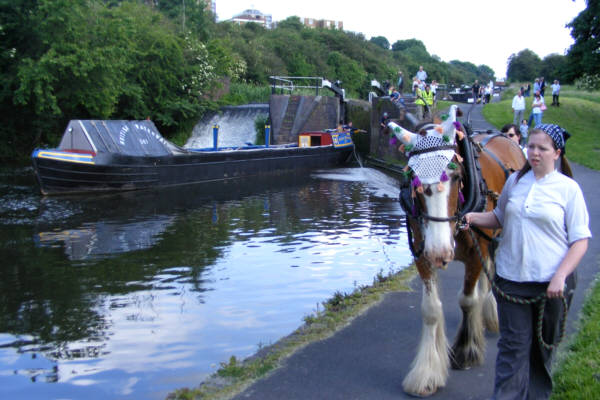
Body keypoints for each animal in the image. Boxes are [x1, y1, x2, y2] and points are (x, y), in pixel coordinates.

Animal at [390, 104, 524, 398]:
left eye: (456, 176)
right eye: (413, 180)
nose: (441, 251)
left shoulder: (475, 252)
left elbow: (467, 300)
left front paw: (466, 350)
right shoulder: (422, 253)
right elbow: (431, 309)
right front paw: (427, 373)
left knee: (490, 273)